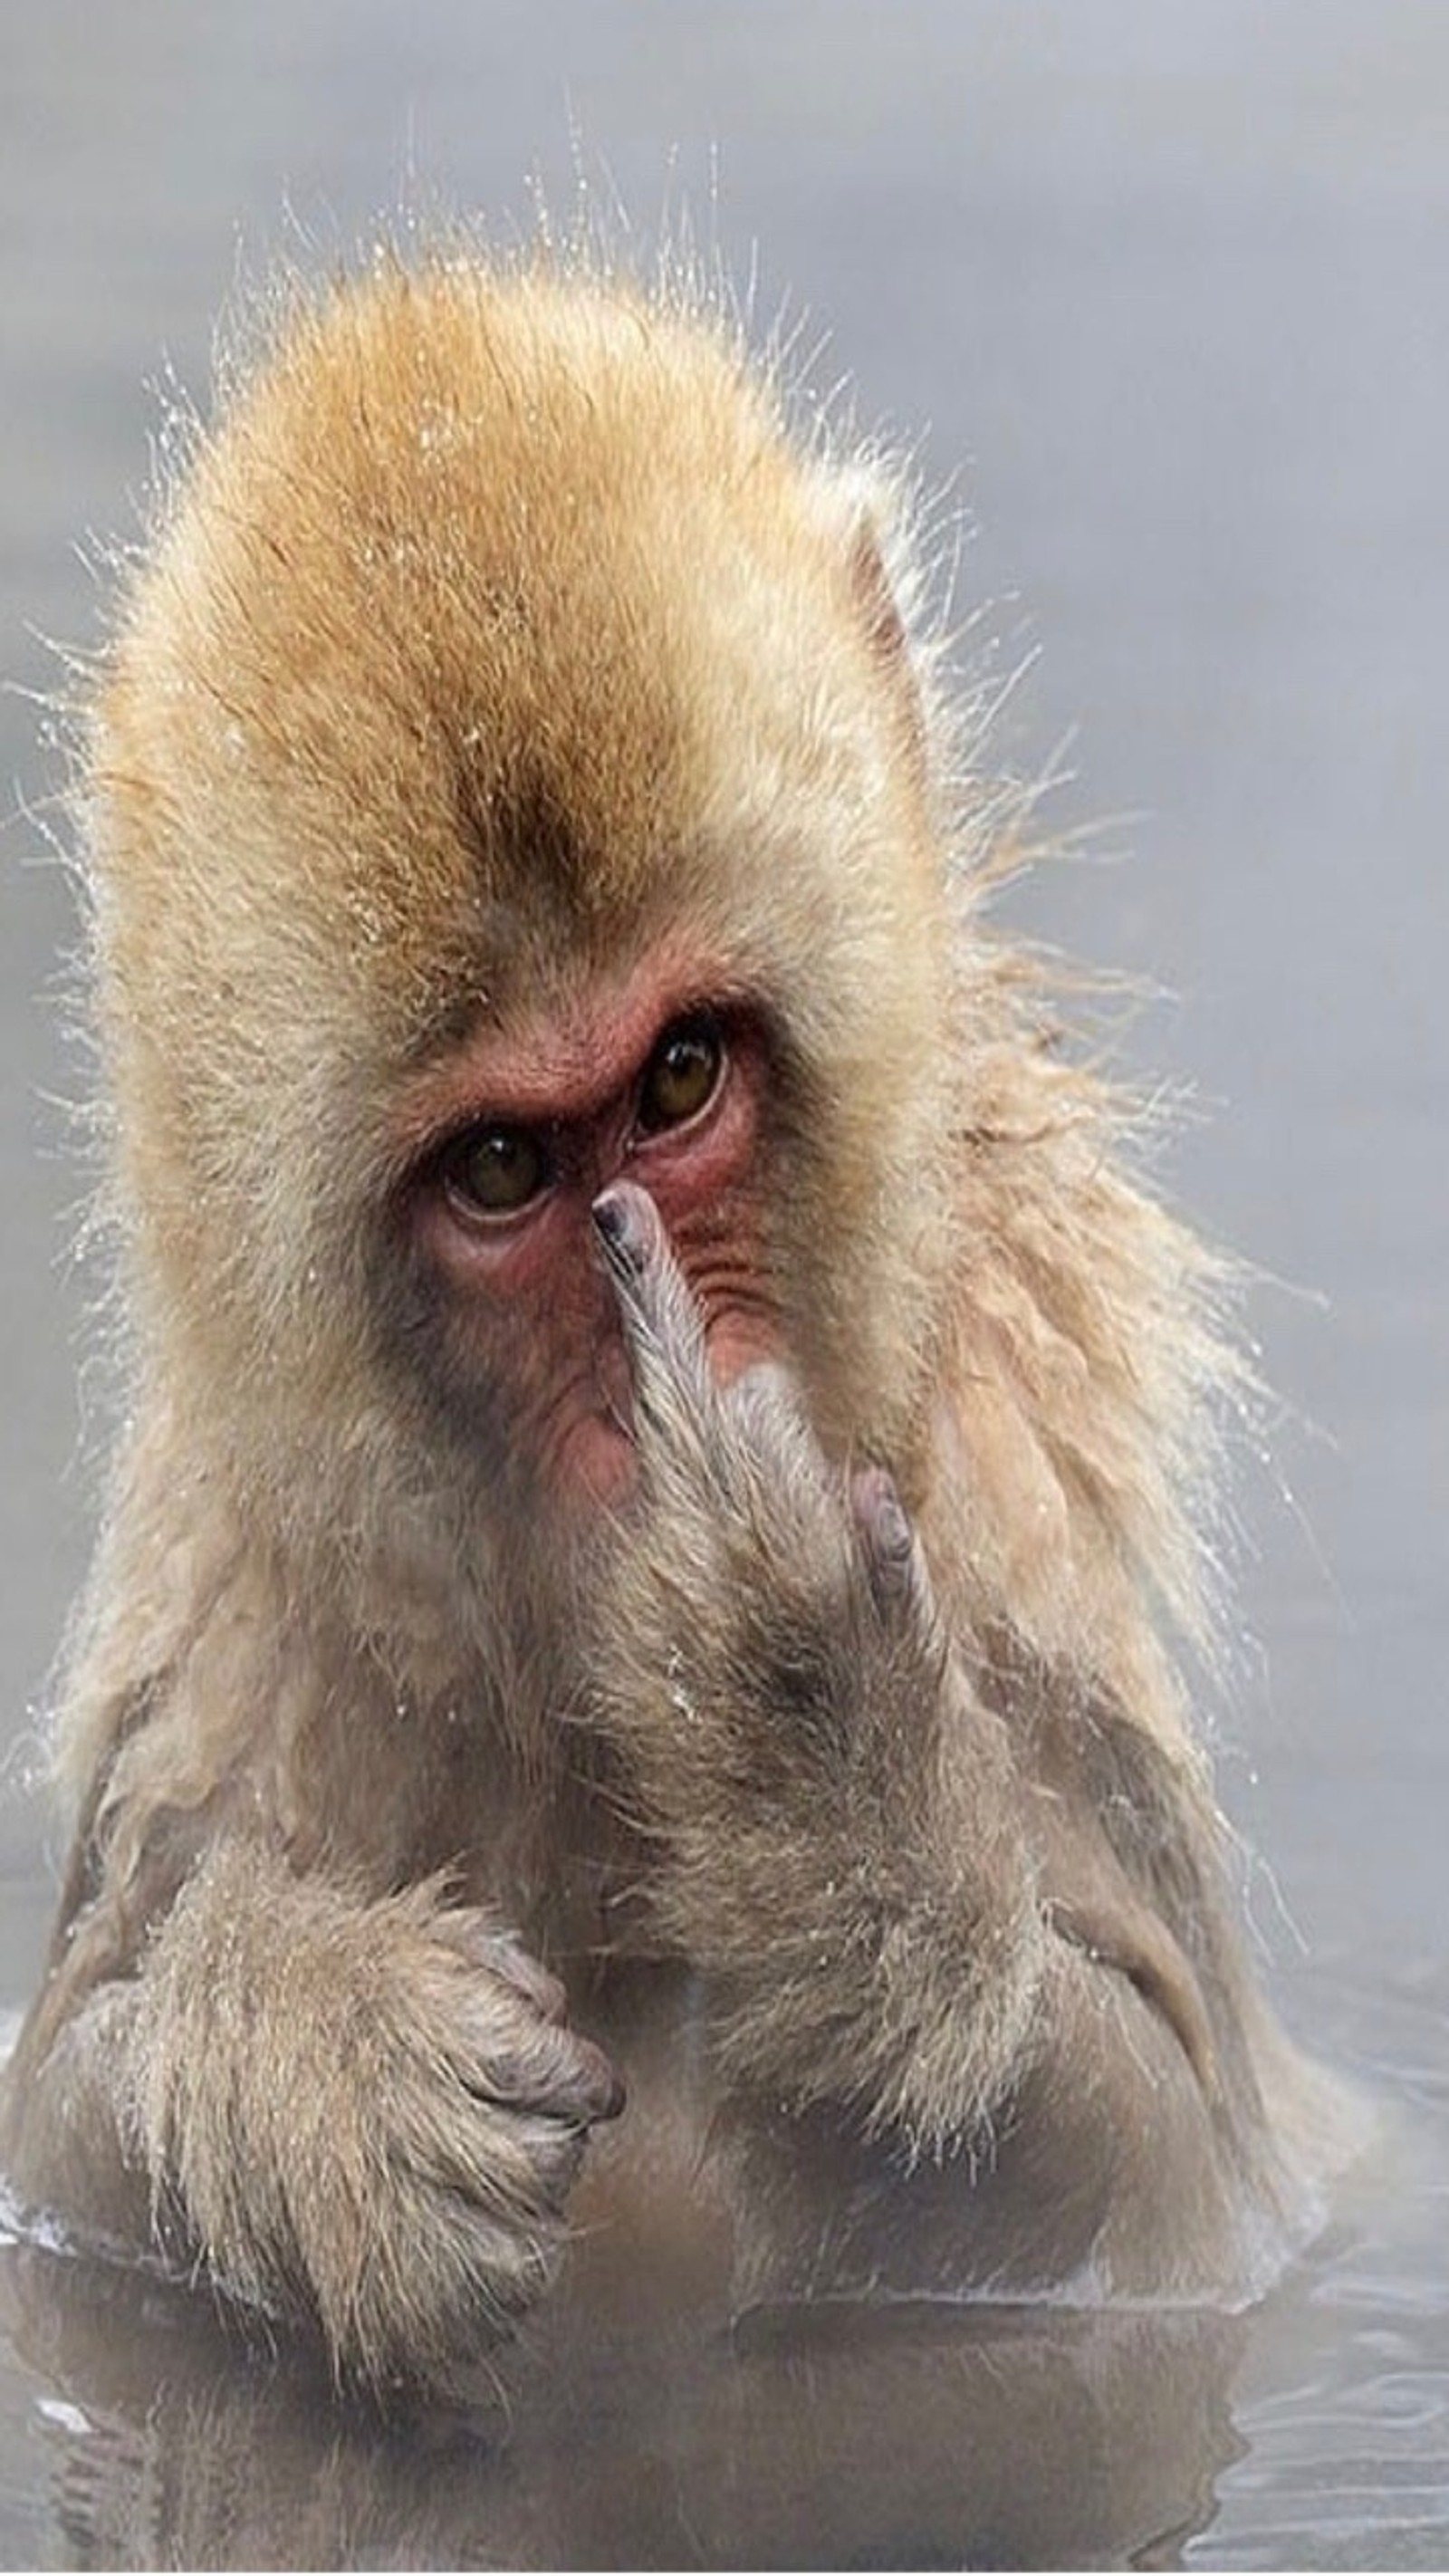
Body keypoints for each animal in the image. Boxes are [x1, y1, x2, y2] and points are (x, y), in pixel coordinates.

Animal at [0, 245, 1348, 2390]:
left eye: (683, 1076)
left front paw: (806, 1737)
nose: (668, 1401)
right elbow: (63, 2124)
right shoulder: (219, 1672)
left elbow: (1153, 2167)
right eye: (498, 1172)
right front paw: (309, 2050)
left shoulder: (1018, 1581)